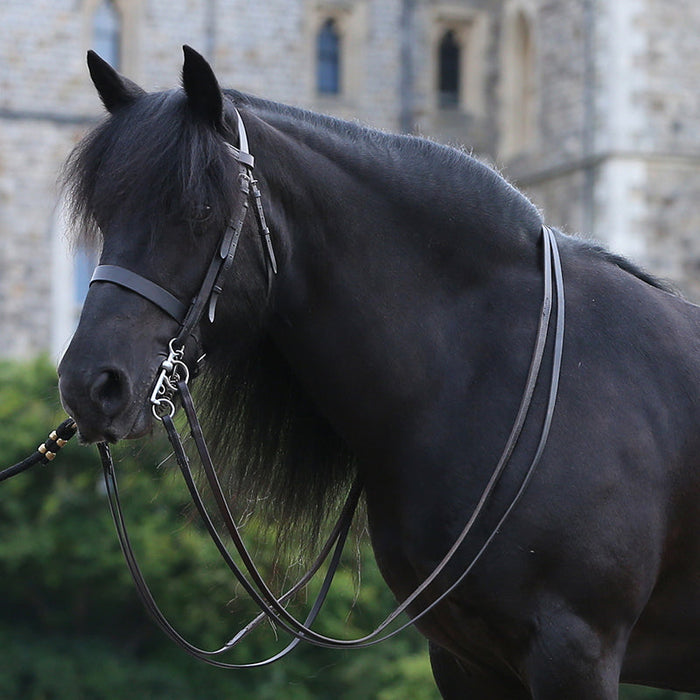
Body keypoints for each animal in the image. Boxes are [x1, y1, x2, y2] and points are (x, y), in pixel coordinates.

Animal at [57, 47, 699, 699]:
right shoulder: (467, 659)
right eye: (105, 214)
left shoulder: (575, 648)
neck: (499, 370)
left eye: (200, 209)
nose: (90, 386)